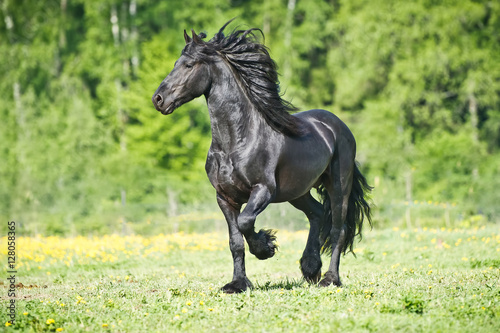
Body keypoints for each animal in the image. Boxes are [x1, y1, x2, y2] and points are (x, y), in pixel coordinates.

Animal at [152, 20, 372, 292]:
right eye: (176, 63)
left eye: (189, 65)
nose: (158, 99)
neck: (236, 142)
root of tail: (338, 125)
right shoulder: (224, 198)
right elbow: (235, 241)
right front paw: (237, 283)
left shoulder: (263, 190)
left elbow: (246, 222)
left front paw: (266, 247)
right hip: (297, 191)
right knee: (317, 213)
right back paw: (310, 268)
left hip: (339, 186)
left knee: (337, 230)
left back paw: (330, 279)